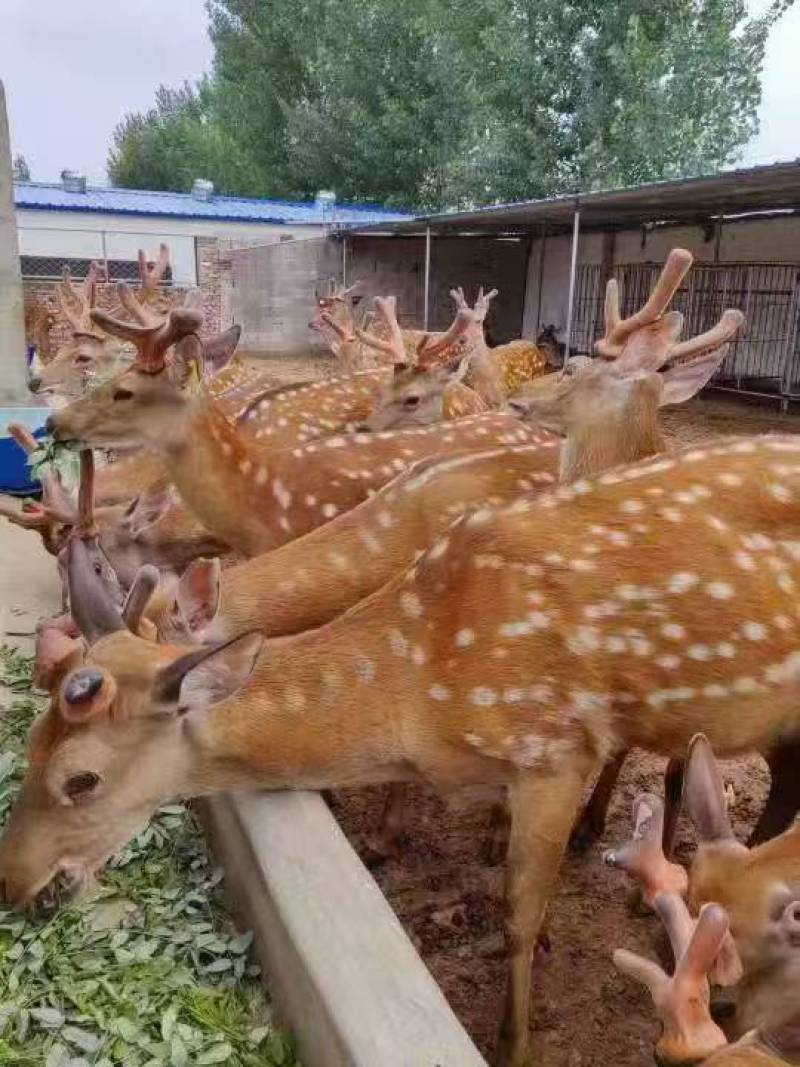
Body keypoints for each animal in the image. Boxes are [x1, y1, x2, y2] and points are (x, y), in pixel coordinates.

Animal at [7, 427, 800, 1065]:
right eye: (30, 740)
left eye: (81, 778)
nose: (13, 883)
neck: (424, 691)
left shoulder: (553, 744)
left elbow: (518, 911)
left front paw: (515, 1042)